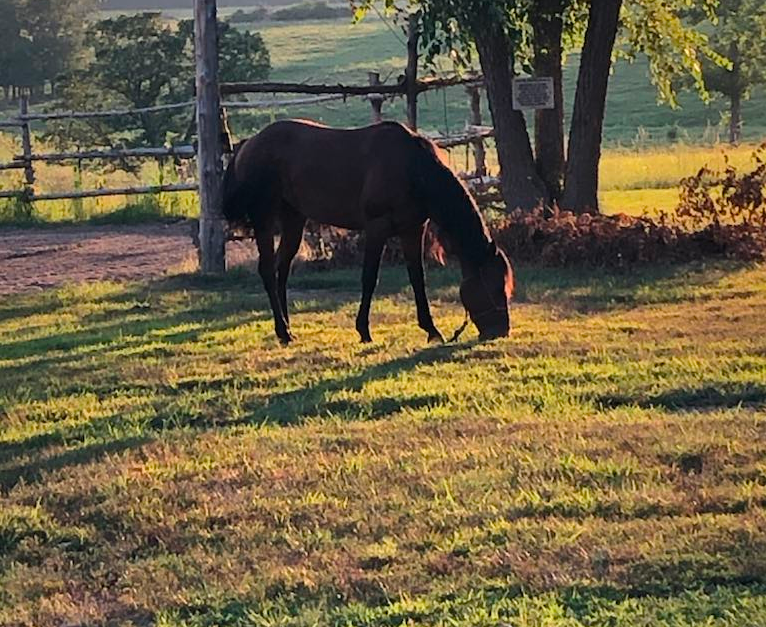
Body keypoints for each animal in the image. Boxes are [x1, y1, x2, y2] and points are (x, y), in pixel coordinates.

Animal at [220, 120, 516, 346]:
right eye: (493, 287)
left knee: (282, 269)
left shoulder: (412, 229)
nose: (500, 331)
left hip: (293, 219)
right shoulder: (377, 228)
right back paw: (283, 331)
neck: (412, 167)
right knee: (268, 271)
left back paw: (287, 329)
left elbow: (417, 279)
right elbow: (369, 279)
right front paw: (364, 331)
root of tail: (248, 144)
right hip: (264, 220)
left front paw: (432, 331)